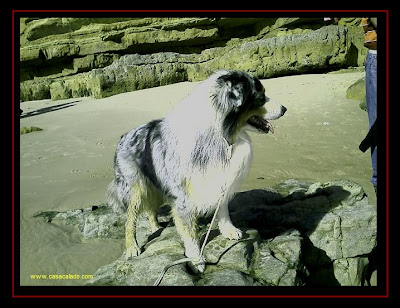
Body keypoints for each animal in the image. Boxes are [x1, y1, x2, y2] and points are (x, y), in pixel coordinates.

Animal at [107, 70, 288, 272]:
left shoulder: (219, 179)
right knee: (130, 218)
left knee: (151, 208)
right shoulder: (183, 196)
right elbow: (189, 231)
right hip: (136, 188)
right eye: (260, 97)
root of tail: (123, 137)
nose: (285, 109)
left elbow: (222, 208)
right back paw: (132, 247)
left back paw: (155, 228)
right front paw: (196, 259)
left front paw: (229, 230)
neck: (219, 135)